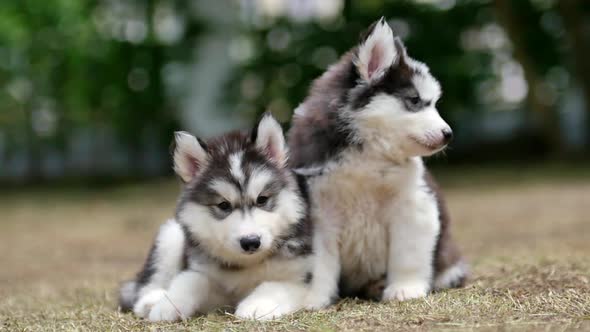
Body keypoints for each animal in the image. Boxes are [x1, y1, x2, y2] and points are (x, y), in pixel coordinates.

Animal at [119, 113, 314, 320]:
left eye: (262, 199)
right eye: (223, 205)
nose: (251, 242)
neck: (247, 264)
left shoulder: (307, 278)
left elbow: (277, 285)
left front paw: (257, 305)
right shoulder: (210, 283)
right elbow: (192, 278)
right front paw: (168, 305)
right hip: (170, 235)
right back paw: (151, 300)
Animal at [290, 18, 470, 308]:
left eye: (433, 103)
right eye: (415, 100)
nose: (448, 134)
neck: (368, 154)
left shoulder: (414, 204)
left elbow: (408, 253)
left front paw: (405, 288)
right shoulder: (319, 213)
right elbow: (317, 264)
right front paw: (312, 298)